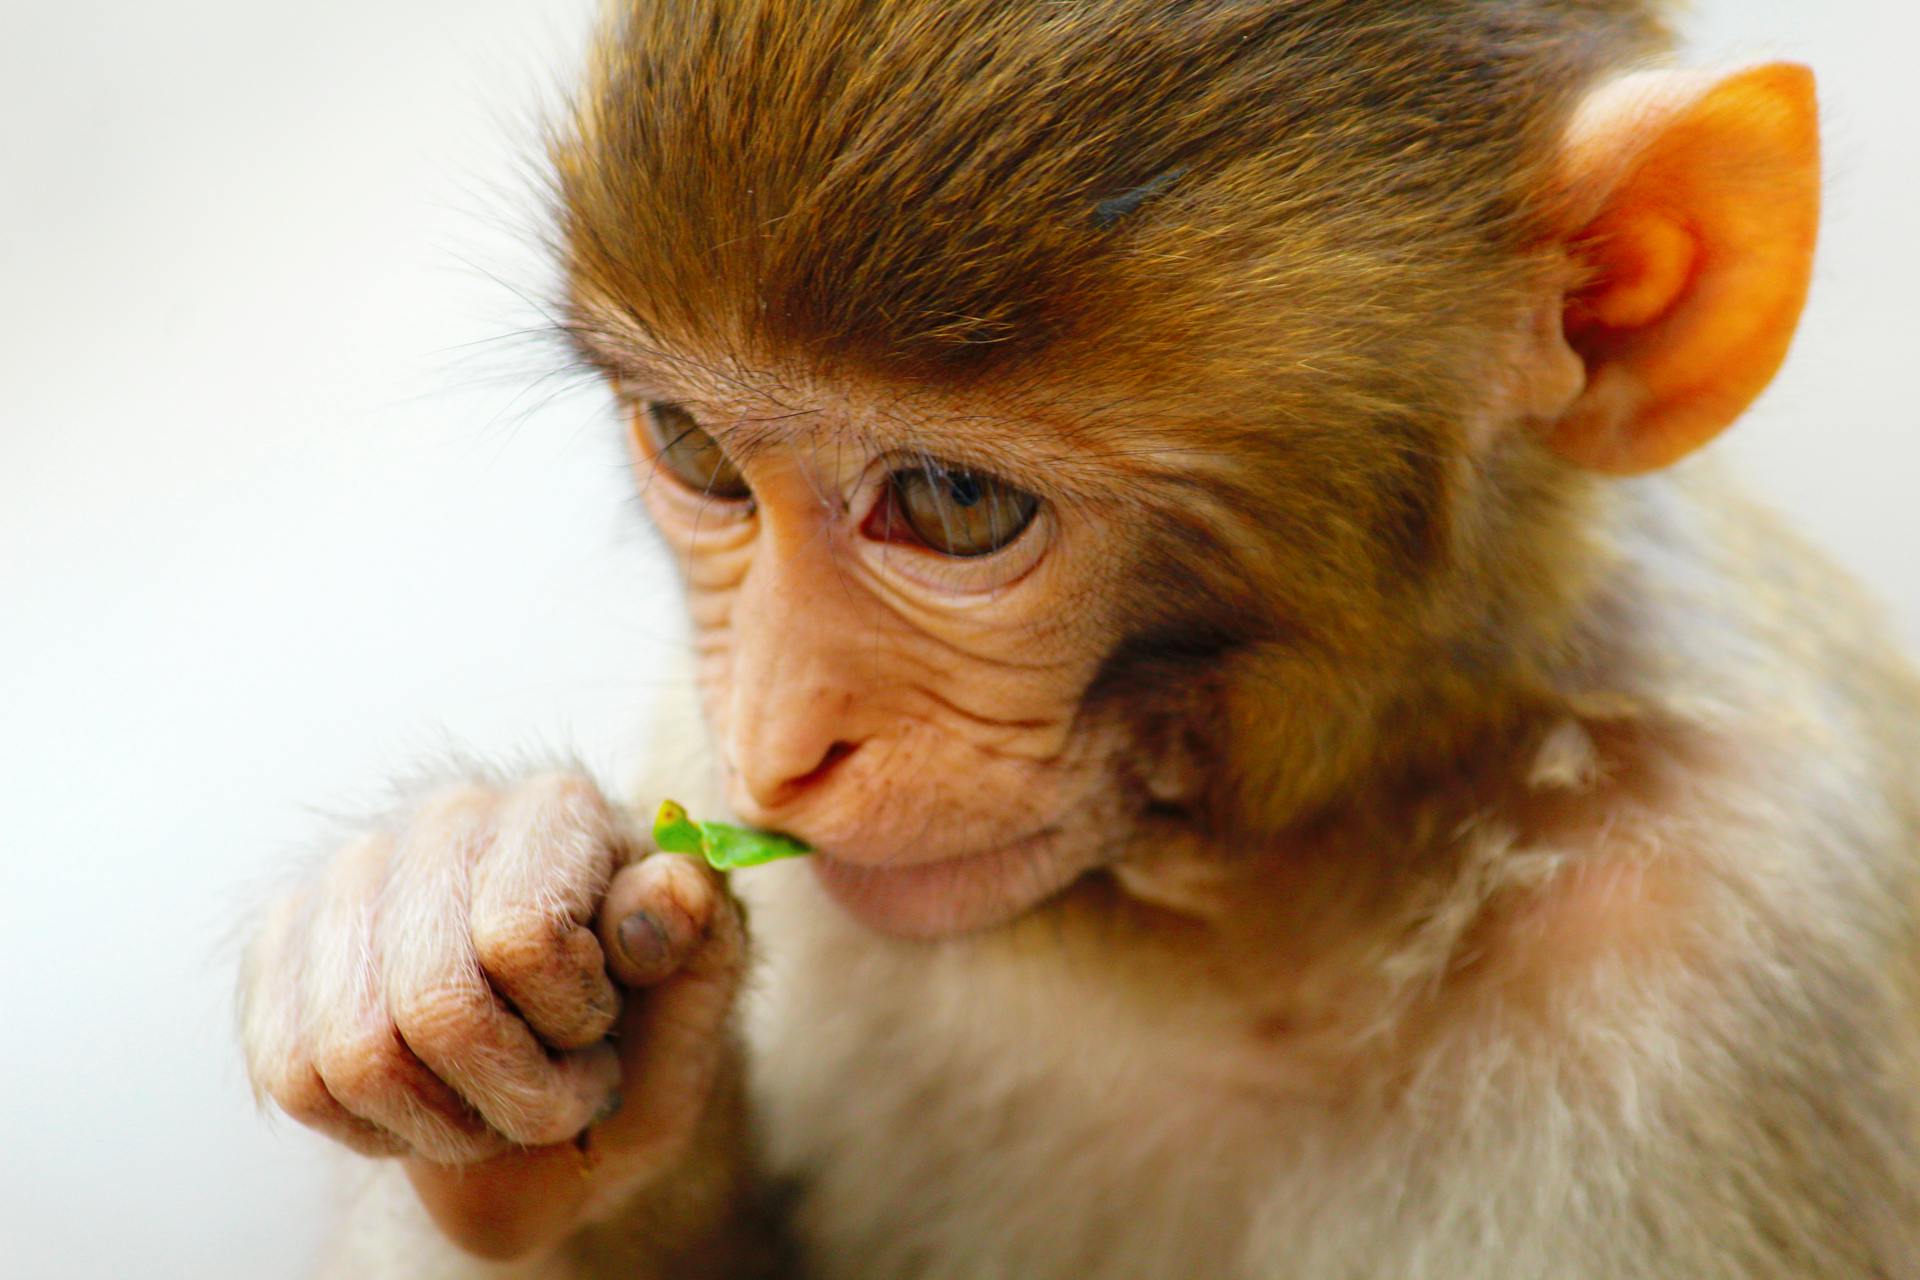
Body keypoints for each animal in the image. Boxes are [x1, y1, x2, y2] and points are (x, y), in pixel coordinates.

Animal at [240, 2, 1920, 1280]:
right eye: (695, 450)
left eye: (953, 504)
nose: (776, 742)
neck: (1258, 909)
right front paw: (449, 916)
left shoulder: (1731, 959)